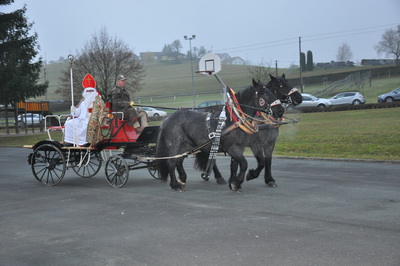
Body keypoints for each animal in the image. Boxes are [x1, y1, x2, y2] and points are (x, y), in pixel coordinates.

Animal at [156, 79, 284, 191]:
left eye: (272, 92)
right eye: (266, 94)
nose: (280, 111)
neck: (235, 119)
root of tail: (167, 119)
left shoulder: (243, 147)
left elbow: (251, 163)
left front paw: (236, 181)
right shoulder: (233, 147)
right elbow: (244, 164)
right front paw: (238, 182)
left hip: (187, 146)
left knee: (179, 161)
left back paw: (182, 179)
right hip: (174, 145)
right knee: (172, 162)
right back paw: (175, 185)